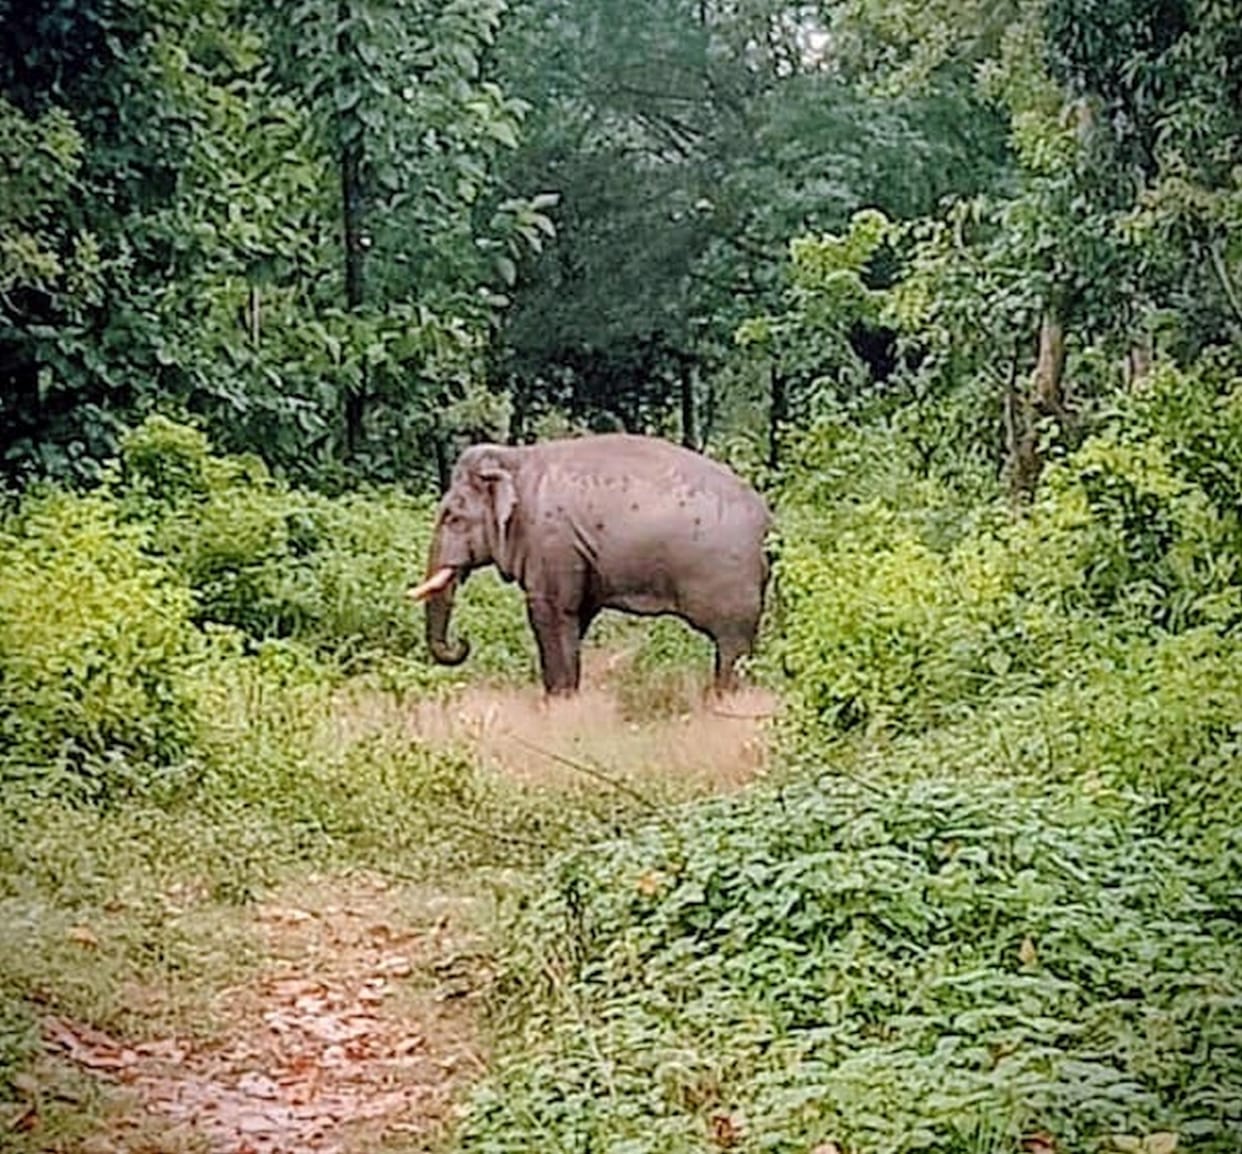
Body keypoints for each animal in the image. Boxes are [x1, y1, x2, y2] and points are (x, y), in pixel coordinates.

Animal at [408, 433, 772, 696]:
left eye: (453, 517)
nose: (463, 642)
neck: (515, 458)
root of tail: (769, 524)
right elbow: (575, 619)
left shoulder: (550, 543)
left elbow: (550, 616)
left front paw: (559, 701)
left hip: (731, 581)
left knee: (731, 646)